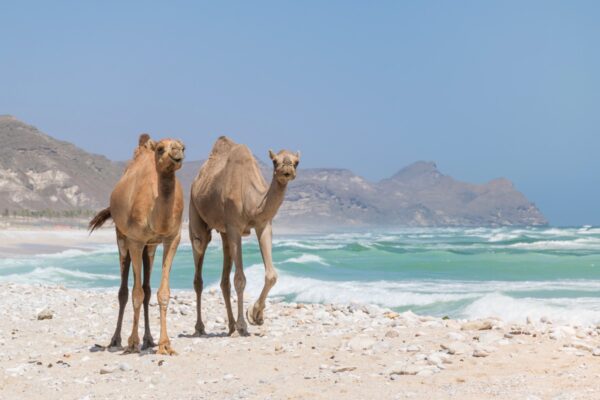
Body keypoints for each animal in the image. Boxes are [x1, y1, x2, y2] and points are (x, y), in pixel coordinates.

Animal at [88, 135, 184, 356]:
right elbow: (135, 293)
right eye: (160, 149)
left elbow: (161, 292)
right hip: (122, 238)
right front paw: (132, 343)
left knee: (147, 288)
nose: (177, 152)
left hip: (150, 247)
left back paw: (148, 340)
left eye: (183, 147)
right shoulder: (136, 240)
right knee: (124, 290)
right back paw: (116, 340)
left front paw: (165, 344)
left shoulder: (172, 238)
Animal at [189, 136, 298, 336]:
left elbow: (271, 275)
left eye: (296, 162)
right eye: (274, 161)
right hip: (195, 209)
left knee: (224, 279)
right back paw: (200, 327)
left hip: (224, 232)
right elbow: (240, 279)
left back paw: (231, 325)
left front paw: (255, 315)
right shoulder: (234, 227)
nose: (286, 169)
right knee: (199, 249)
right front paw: (243, 324)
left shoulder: (263, 224)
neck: (252, 203)